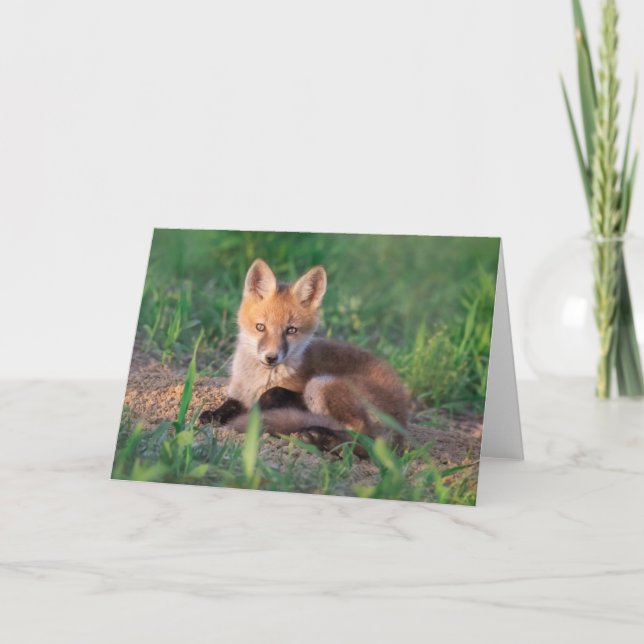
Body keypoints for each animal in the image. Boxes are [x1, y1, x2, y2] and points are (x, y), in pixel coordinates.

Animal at [199, 258, 409, 453]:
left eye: (291, 330)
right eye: (260, 327)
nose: (271, 358)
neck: (257, 380)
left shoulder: (297, 392)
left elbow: (273, 392)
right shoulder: (238, 393)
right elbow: (229, 405)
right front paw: (214, 415)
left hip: (321, 384)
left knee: (364, 439)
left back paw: (322, 438)